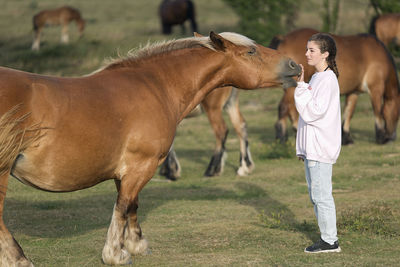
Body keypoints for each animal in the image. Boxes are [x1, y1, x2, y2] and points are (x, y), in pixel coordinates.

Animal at [0, 31, 300, 266]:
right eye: (251, 51)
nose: (294, 64)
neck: (155, 85)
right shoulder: (141, 166)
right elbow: (123, 207)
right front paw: (116, 254)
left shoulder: (130, 171)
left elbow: (131, 204)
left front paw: (135, 244)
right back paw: (19, 259)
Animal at [268, 28, 400, 146]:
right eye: (397, 114)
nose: (392, 137)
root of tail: (284, 38)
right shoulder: (376, 89)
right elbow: (378, 111)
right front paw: (381, 137)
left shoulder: (353, 92)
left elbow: (349, 113)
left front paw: (347, 138)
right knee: (284, 107)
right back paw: (282, 138)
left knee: (291, 109)